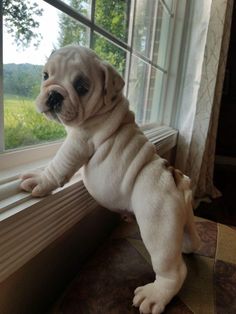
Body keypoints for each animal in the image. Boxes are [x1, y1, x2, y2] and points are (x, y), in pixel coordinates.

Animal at [20, 44, 201, 314]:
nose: (53, 95)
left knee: (174, 269)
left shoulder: (79, 141)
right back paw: (189, 246)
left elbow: (59, 163)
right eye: (45, 75)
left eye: (81, 87)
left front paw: (40, 179)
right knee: (188, 240)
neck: (105, 107)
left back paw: (155, 295)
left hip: (158, 225)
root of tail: (177, 179)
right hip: (181, 220)